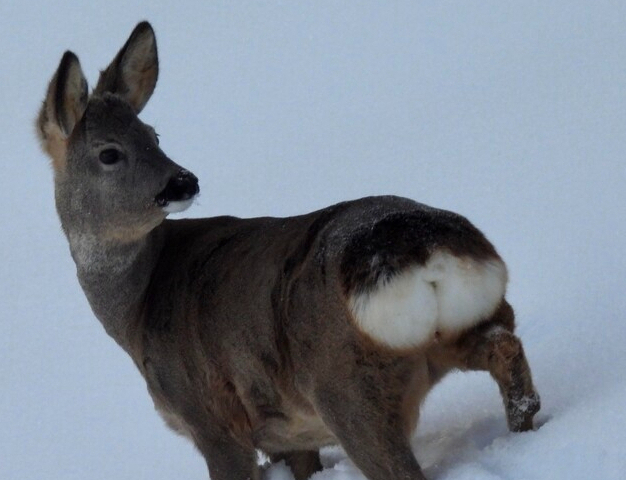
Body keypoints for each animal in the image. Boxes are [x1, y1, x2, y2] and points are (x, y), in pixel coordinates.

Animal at [36, 21, 540, 480]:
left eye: (153, 135)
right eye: (111, 152)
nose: (183, 181)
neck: (137, 311)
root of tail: (421, 251)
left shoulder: (210, 418)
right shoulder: (288, 435)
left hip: (347, 389)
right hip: (470, 321)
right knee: (507, 351)